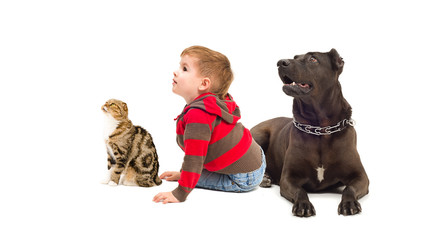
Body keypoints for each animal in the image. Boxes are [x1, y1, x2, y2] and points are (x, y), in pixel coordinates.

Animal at [252, 49, 368, 218]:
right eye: (295, 57)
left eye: (313, 59)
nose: (280, 62)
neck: (320, 129)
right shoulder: (288, 178)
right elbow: (300, 190)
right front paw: (303, 205)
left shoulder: (360, 176)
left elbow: (349, 188)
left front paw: (349, 203)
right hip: (260, 135)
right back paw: (264, 178)